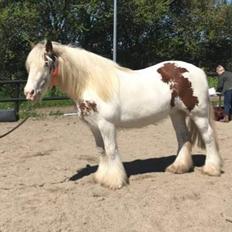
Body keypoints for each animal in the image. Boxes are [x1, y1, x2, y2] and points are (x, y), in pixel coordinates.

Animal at [24, 40, 222, 189]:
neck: (91, 83)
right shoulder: (94, 127)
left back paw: (212, 169)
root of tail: (199, 71)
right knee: (183, 138)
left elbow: (111, 150)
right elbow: (101, 151)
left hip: (198, 114)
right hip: (177, 114)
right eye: (29, 66)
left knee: (208, 137)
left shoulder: (106, 125)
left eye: (46, 63)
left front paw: (115, 181)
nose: (29, 93)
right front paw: (101, 177)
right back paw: (178, 167)